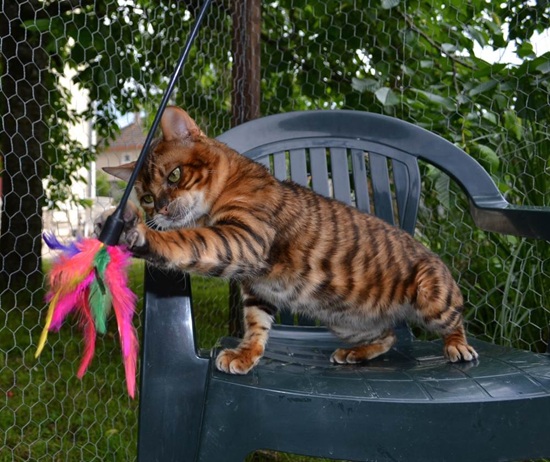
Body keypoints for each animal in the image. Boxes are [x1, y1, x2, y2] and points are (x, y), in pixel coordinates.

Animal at [98, 106, 478, 374]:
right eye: (147, 197)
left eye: (175, 175)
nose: (160, 208)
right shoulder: (257, 287)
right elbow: (256, 324)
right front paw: (246, 354)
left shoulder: (243, 237)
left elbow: (185, 242)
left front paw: (139, 234)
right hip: (347, 323)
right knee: (389, 335)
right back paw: (356, 353)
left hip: (432, 298)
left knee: (456, 321)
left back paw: (458, 346)